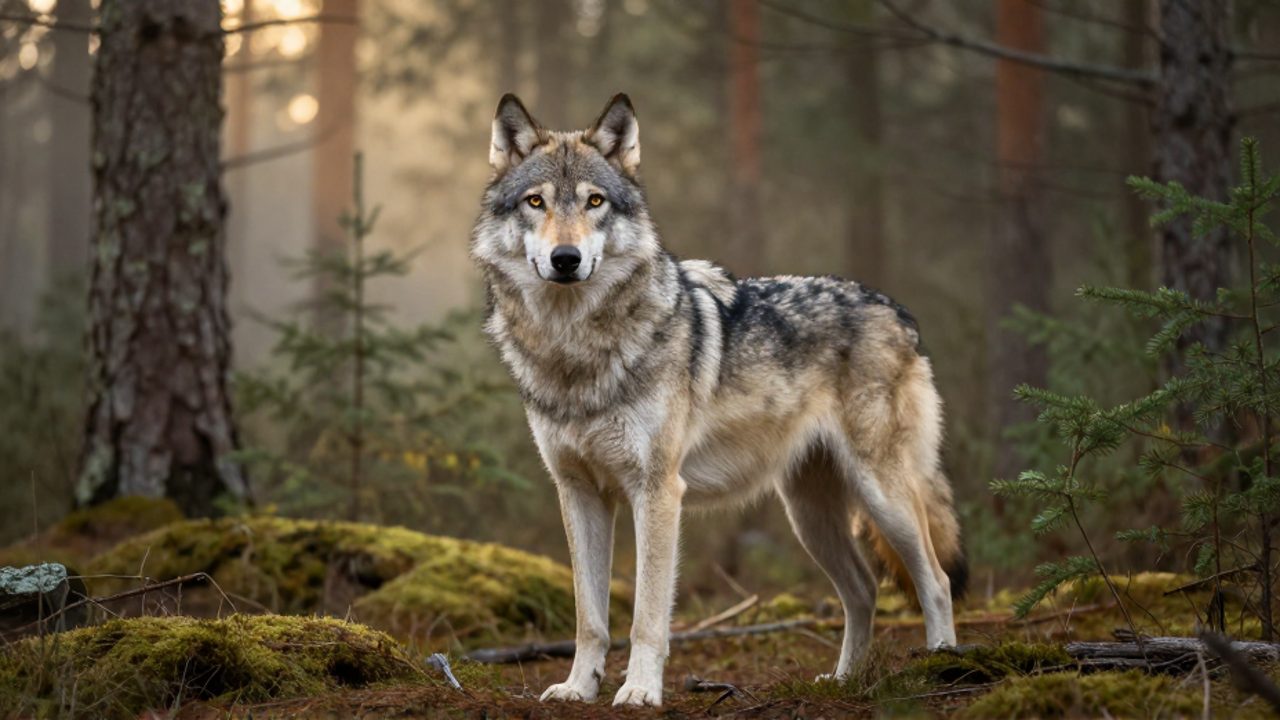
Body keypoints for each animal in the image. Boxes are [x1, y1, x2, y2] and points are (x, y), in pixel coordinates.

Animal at [470, 93, 966, 707]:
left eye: (594, 202)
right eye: (535, 202)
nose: (566, 258)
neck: (575, 353)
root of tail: (896, 310)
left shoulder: (657, 492)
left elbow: (647, 616)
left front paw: (640, 691)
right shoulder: (579, 493)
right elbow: (590, 618)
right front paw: (577, 687)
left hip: (883, 496)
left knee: (935, 580)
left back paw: (942, 666)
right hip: (809, 517)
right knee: (864, 589)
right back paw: (845, 680)